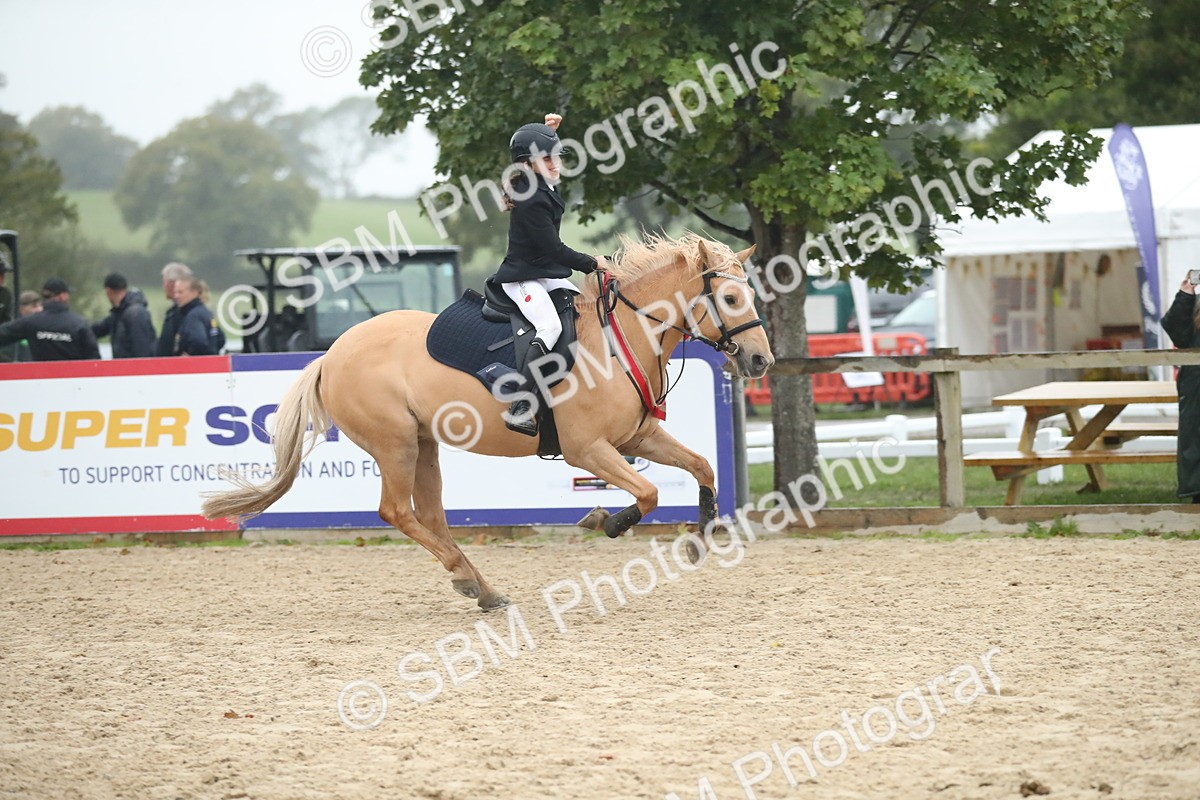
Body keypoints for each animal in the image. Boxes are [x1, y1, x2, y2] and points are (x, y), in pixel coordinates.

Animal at [202, 234, 774, 610]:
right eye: (729, 297)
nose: (760, 361)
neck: (621, 336)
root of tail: (332, 354)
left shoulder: (639, 435)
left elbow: (701, 466)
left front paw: (702, 533)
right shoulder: (587, 449)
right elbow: (650, 493)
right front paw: (605, 521)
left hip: (424, 444)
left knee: (430, 516)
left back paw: (481, 586)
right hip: (395, 445)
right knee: (397, 512)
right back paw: (469, 579)